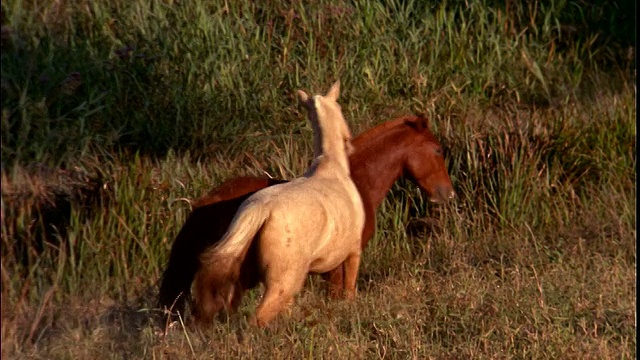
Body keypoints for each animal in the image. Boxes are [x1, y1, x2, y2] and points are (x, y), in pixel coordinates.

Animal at [191, 82, 364, 326]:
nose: (349, 140)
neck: (332, 167)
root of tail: (260, 210)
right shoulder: (353, 252)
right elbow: (348, 289)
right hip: (283, 280)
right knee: (259, 317)